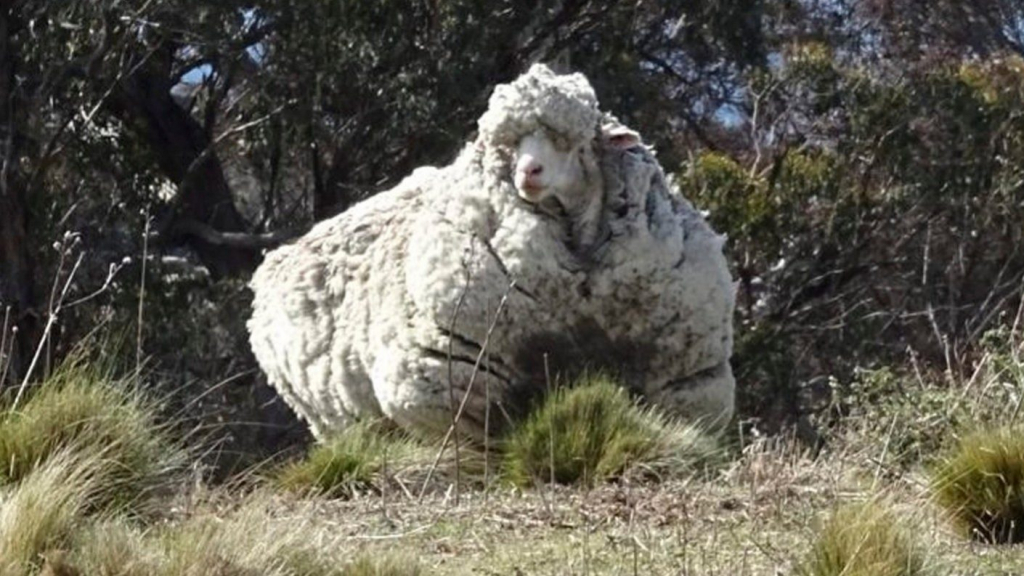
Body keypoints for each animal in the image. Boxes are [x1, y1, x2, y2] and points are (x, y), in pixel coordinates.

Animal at [243, 63, 733, 438]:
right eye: (509, 145)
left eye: (570, 140)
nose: (529, 172)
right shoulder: (451, 381)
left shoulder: (687, 379)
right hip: (335, 421)